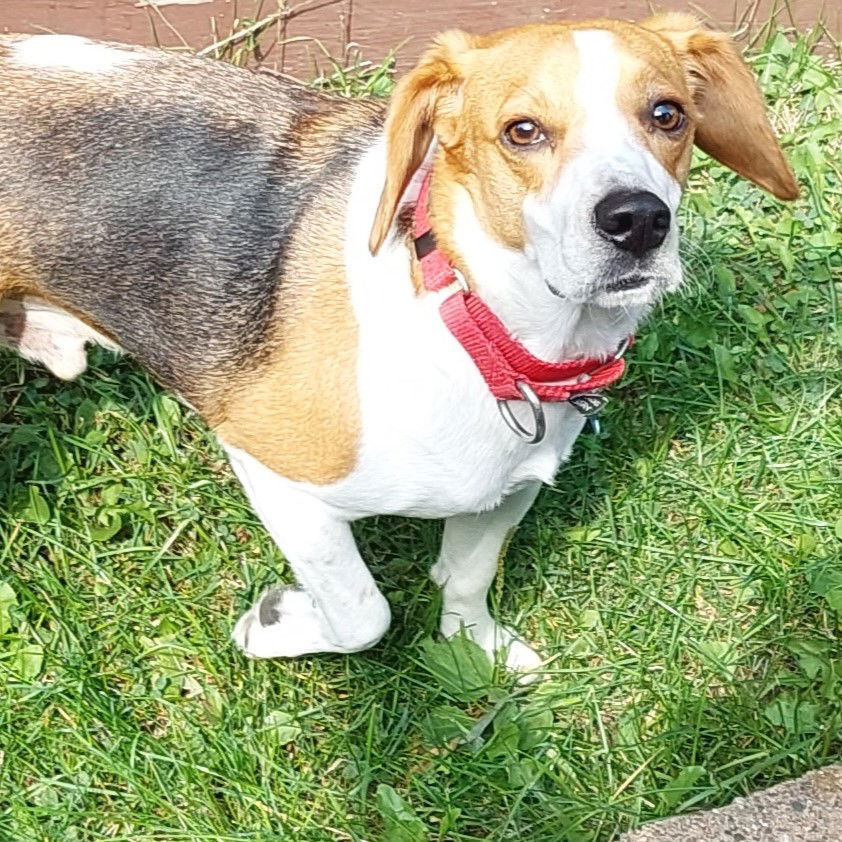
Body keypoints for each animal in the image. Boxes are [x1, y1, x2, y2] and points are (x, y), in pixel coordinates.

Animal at [0, 14, 796, 668]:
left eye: (668, 114)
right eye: (523, 131)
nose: (638, 220)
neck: (475, 322)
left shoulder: (505, 490)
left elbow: (468, 576)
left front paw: (472, 646)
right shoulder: (275, 474)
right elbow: (363, 614)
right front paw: (276, 624)